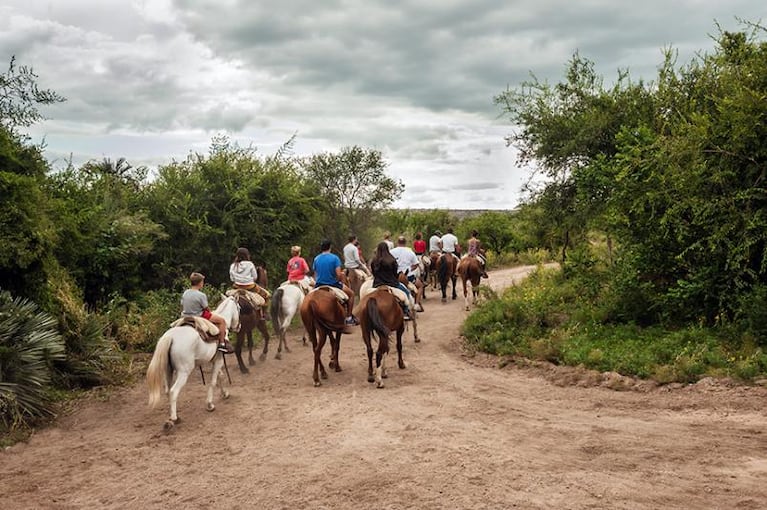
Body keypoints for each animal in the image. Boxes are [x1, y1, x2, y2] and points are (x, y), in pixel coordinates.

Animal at [146, 294, 238, 430]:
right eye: (239, 307)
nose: (239, 326)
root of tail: (170, 337)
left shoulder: (216, 360)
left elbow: (220, 376)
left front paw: (225, 393)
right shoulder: (219, 359)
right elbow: (213, 381)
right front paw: (210, 404)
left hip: (168, 370)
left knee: (168, 391)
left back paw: (172, 416)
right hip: (184, 372)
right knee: (173, 391)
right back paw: (173, 419)